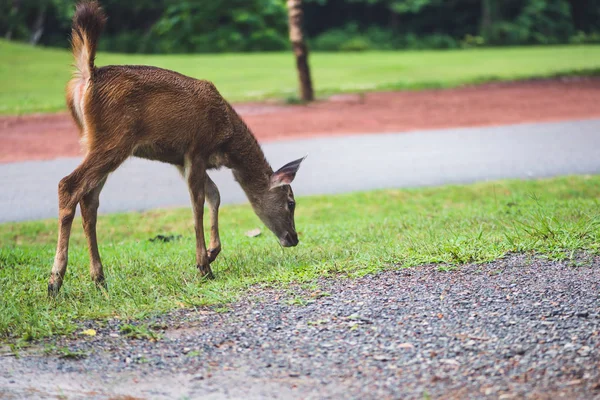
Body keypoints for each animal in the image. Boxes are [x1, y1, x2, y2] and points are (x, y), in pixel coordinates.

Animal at [48, 0, 304, 296]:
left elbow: (215, 195)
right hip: (113, 141)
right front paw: (203, 266)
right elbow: (198, 203)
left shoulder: (181, 159)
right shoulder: (196, 148)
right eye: (290, 202)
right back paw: (55, 281)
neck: (226, 139)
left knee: (89, 200)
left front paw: (212, 253)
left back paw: (99, 279)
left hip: (94, 142)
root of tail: (86, 78)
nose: (294, 238)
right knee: (68, 185)